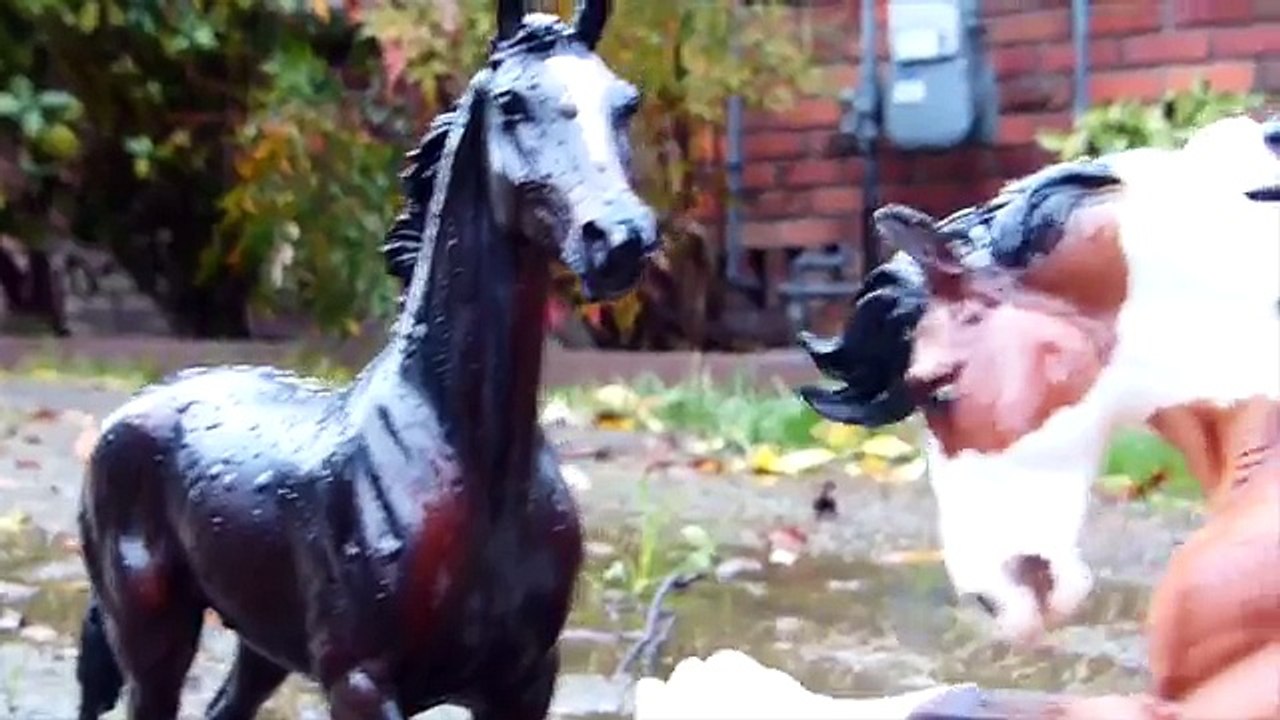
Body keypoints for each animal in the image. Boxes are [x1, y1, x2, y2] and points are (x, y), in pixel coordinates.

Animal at [74, 3, 658, 719]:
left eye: (624, 103)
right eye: (512, 103)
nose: (619, 240)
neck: (473, 465)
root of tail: (124, 416)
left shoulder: (524, 683)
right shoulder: (360, 683)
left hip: (262, 645)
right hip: (154, 637)